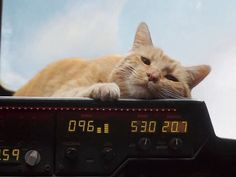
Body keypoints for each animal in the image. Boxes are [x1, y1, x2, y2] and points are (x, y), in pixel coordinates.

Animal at [14, 22, 210, 100]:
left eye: (171, 78)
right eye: (145, 60)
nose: (152, 76)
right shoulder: (62, 92)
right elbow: (79, 90)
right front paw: (105, 87)